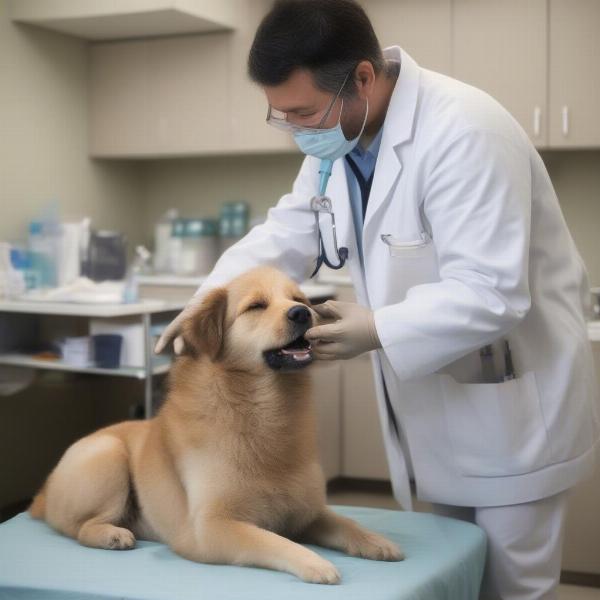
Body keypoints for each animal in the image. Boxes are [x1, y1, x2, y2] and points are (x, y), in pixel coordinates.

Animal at [28, 266, 404, 580]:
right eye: (256, 306)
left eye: (298, 299)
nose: (303, 313)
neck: (260, 409)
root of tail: (41, 495)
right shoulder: (210, 528)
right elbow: (273, 541)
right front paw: (315, 563)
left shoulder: (307, 514)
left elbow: (345, 522)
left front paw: (375, 541)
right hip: (108, 455)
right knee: (79, 527)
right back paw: (110, 534)